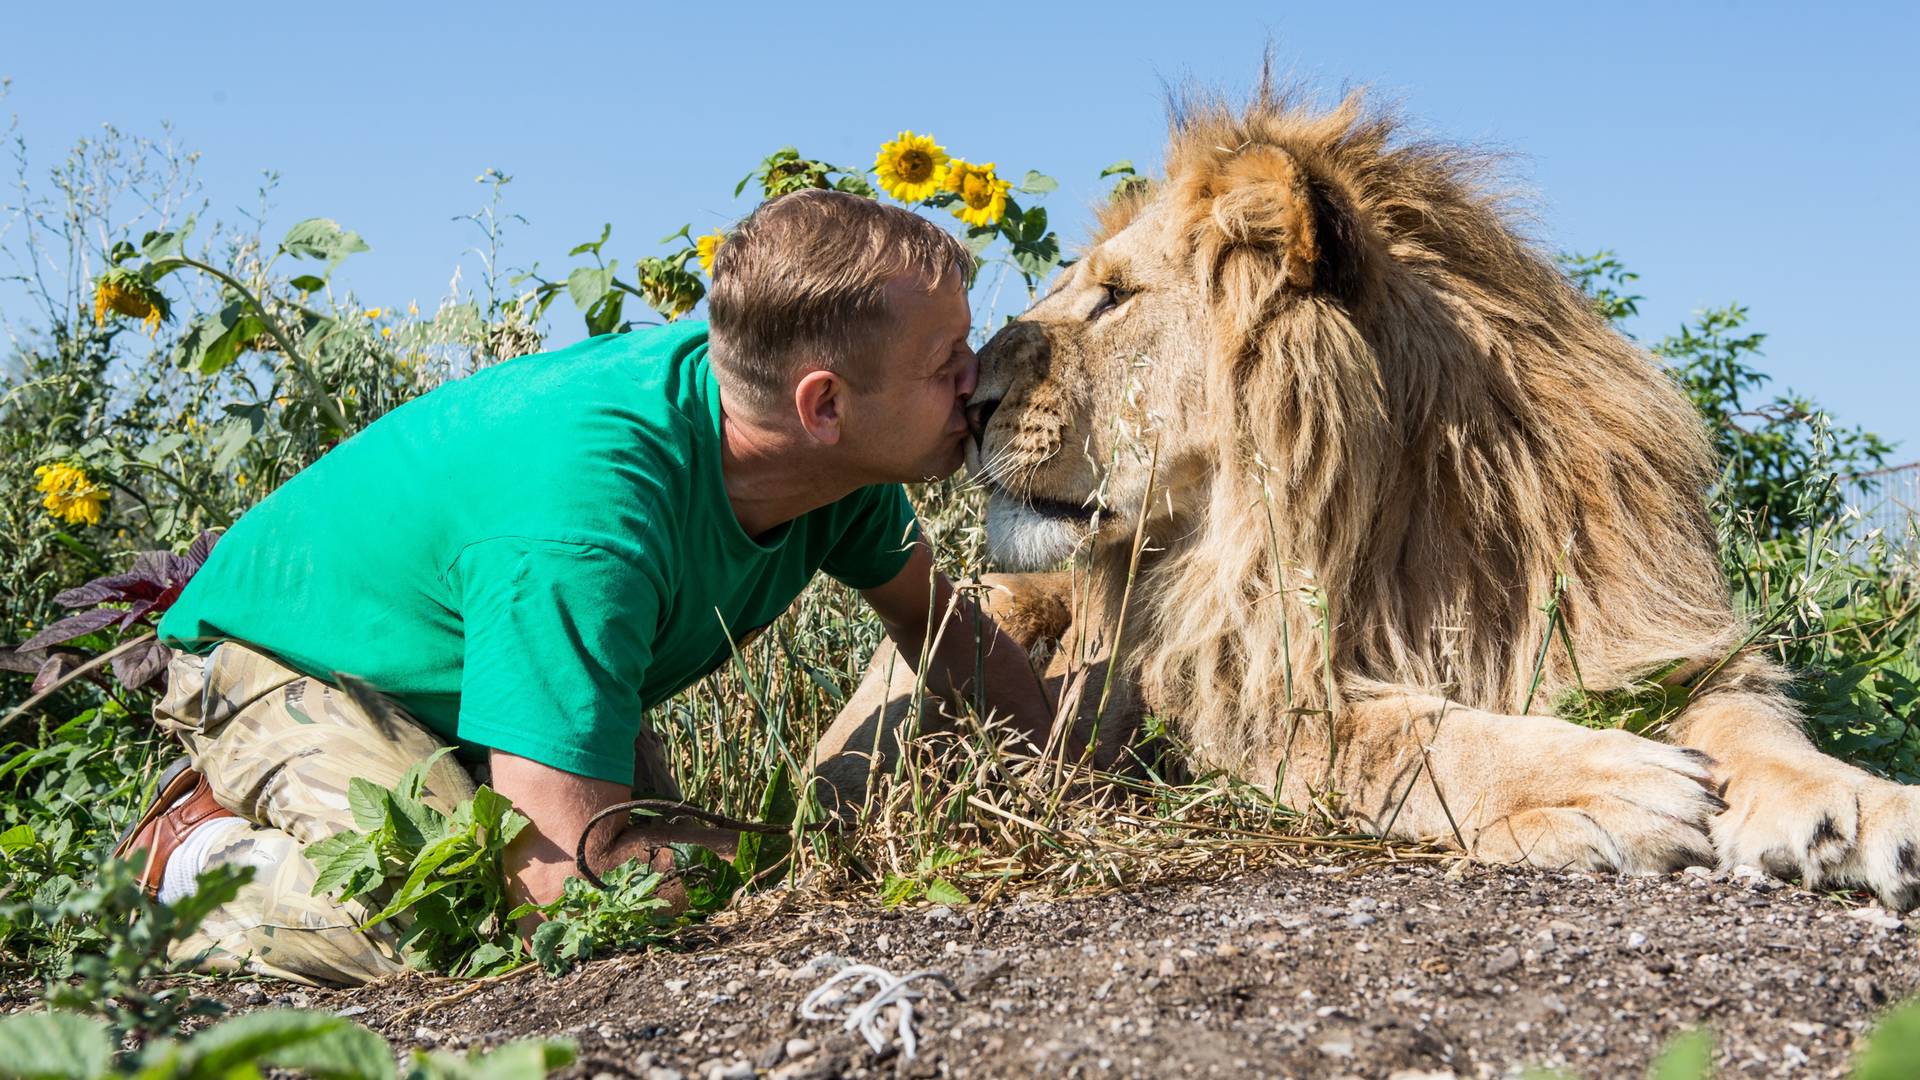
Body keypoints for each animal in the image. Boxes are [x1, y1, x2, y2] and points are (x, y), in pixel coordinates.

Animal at [817, 82, 1920, 899]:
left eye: (1115, 298)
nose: (969, 405)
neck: (1403, 515)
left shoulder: (1635, 636)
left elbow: (1754, 723)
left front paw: (1867, 806)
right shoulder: (1211, 698)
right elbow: (1401, 735)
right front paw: (1603, 782)